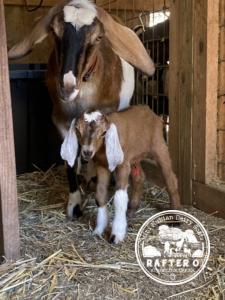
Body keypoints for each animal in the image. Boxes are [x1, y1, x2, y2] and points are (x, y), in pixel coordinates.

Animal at [7, 0, 155, 220]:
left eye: (99, 37)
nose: (67, 87)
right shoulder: (61, 121)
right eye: (54, 32)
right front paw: (75, 205)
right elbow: (69, 158)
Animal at [60, 105, 180, 244]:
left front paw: (116, 235)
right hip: (134, 156)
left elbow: (119, 198)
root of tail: (150, 110)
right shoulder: (101, 165)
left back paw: (176, 217)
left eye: (104, 133)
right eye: (78, 130)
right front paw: (98, 230)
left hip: (159, 146)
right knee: (139, 177)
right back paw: (132, 209)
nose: (87, 152)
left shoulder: (122, 164)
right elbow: (100, 195)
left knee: (171, 179)